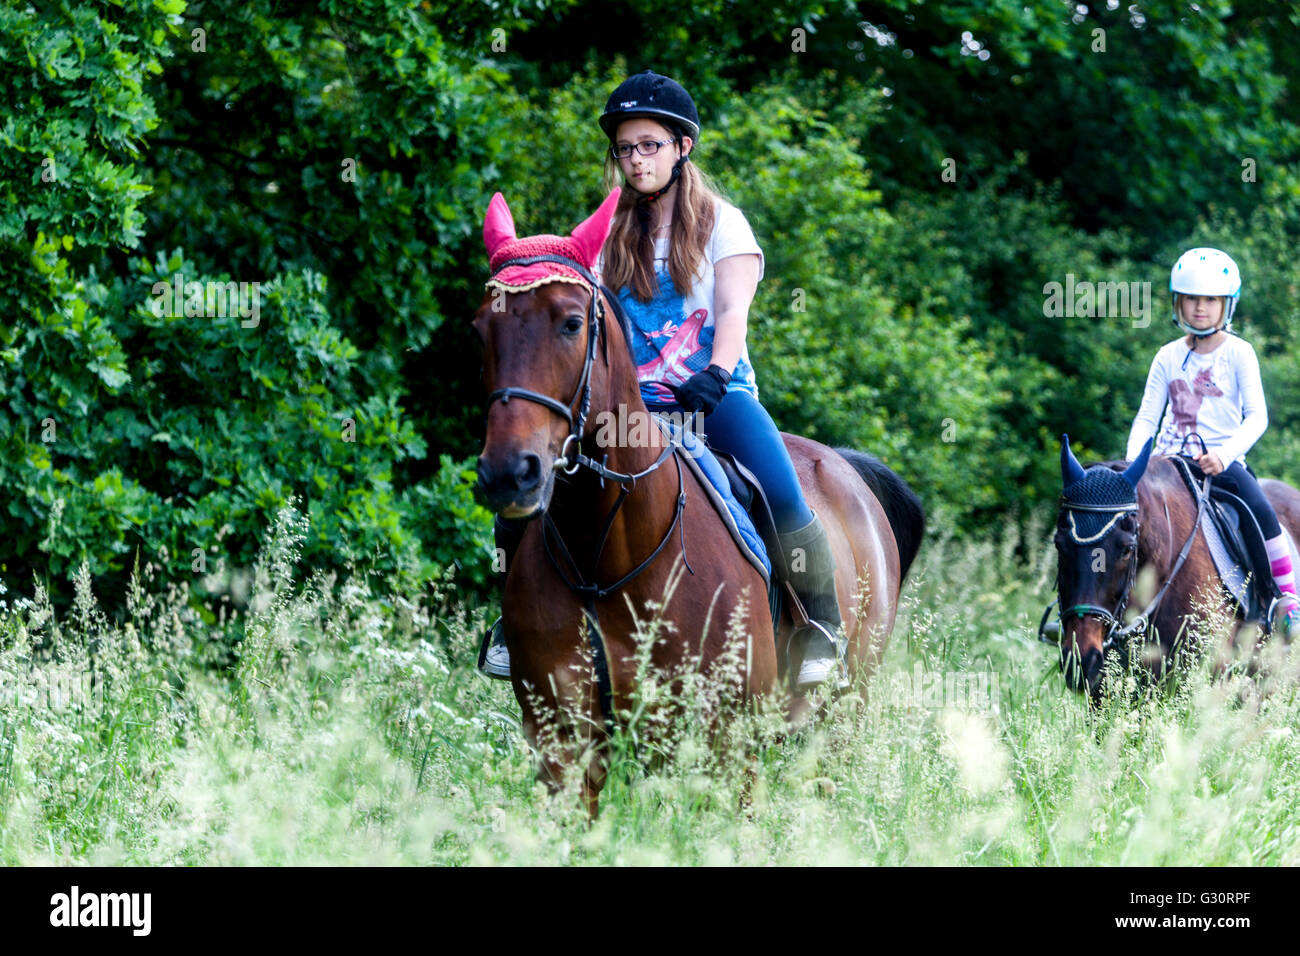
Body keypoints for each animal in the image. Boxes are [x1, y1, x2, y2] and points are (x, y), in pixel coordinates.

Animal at [473, 191, 920, 811]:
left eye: (570, 323)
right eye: (480, 329)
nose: (509, 474)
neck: (604, 557)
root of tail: (849, 469)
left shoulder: (726, 749)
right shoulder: (562, 747)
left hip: (844, 711)